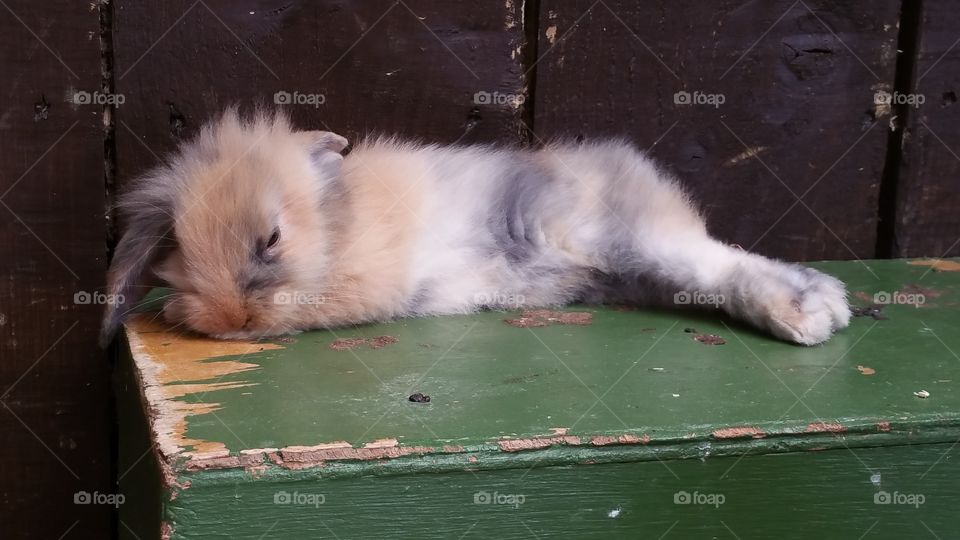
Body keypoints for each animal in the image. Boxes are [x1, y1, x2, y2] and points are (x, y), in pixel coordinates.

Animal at [100, 108, 851, 347]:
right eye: (180, 251)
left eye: (272, 239)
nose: (231, 319)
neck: (337, 225)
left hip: (629, 235)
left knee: (714, 261)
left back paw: (812, 313)